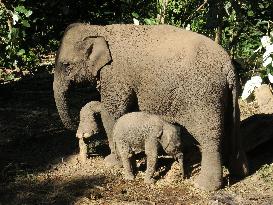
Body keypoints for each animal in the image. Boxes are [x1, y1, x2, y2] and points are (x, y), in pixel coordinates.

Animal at [52, 23, 248, 191]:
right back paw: (240, 172)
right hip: (229, 96)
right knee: (233, 129)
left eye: (66, 65)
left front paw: (111, 162)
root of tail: (228, 66)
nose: (78, 133)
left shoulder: (115, 74)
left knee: (210, 137)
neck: (99, 29)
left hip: (204, 98)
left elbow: (113, 113)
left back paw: (204, 186)